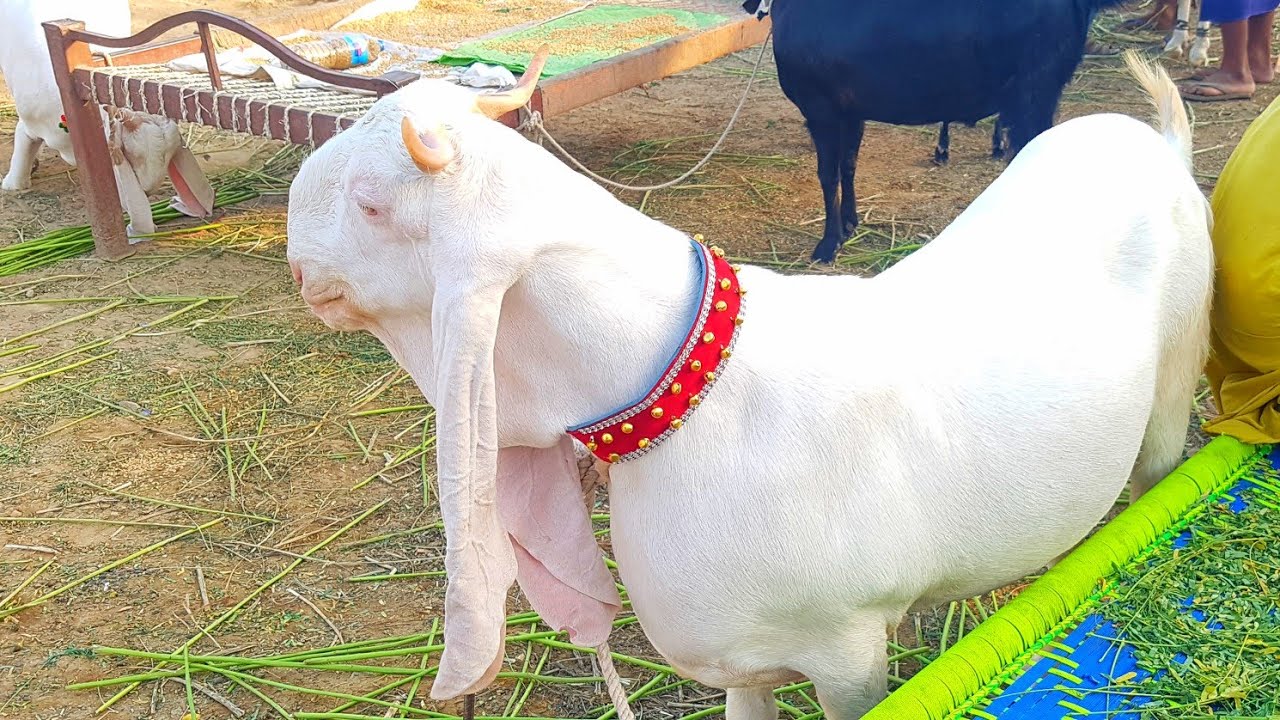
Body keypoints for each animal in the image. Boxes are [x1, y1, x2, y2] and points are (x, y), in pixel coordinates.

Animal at [286, 49, 1212, 720]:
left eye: (371, 204)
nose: (298, 265)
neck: (696, 391)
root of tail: (1161, 143)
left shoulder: (848, 650)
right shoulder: (745, 653)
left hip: (1176, 373)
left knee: (1160, 466)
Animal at [742, 0, 1128, 263]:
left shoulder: (821, 109)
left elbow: (828, 175)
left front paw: (827, 245)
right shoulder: (850, 111)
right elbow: (848, 165)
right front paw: (849, 224)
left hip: (1035, 93)